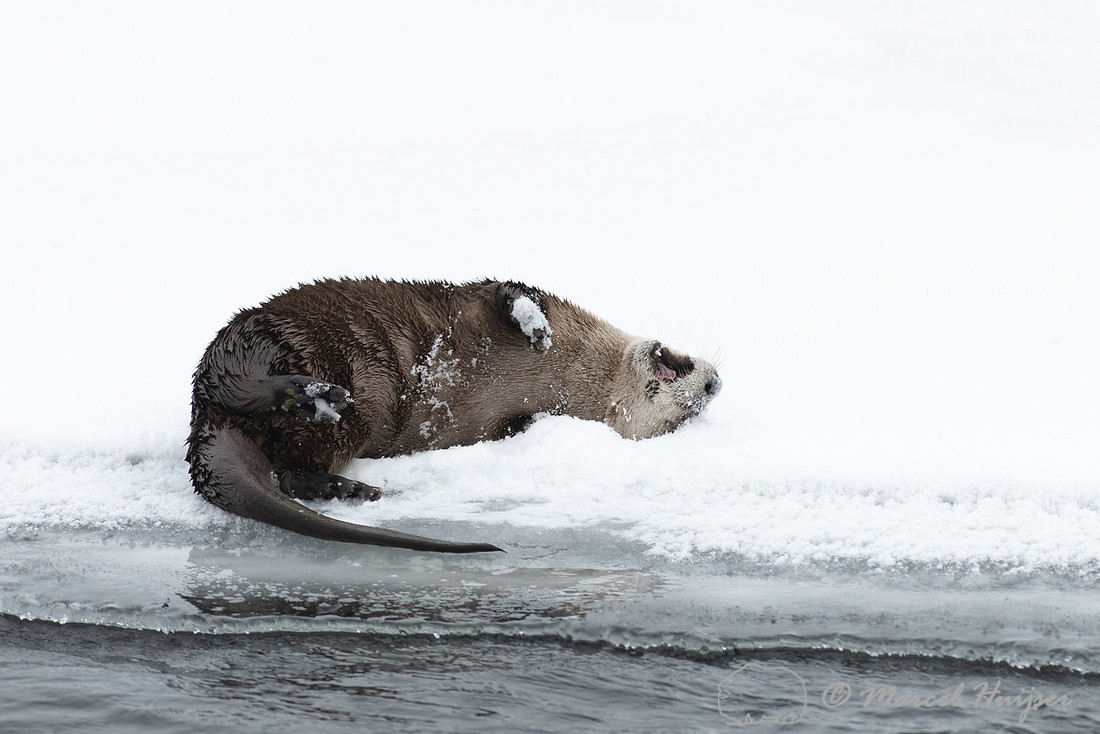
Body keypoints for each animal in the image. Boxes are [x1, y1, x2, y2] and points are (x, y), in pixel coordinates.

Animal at [186, 278, 721, 553]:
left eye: (679, 420)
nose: (713, 385)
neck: (574, 370)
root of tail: (204, 404)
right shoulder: (511, 299)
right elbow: (514, 293)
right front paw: (535, 326)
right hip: (264, 338)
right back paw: (316, 398)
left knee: (291, 471)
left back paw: (347, 480)